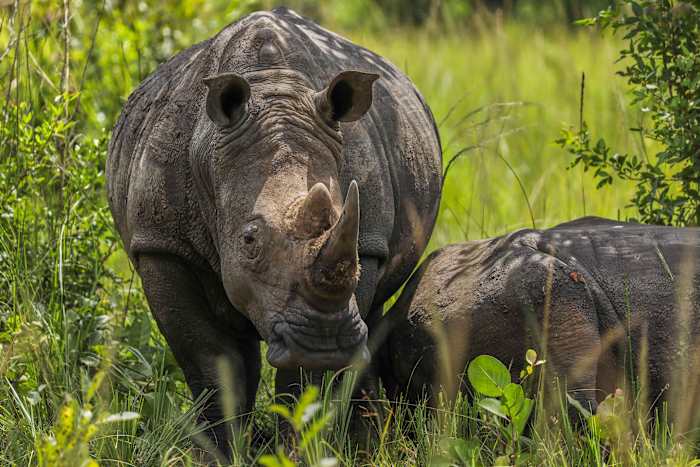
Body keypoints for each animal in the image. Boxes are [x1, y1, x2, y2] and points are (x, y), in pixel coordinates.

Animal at [106, 7, 441, 451]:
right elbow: (209, 360)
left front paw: (290, 451)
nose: (324, 340)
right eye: (249, 240)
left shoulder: (366, 243)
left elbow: (302, 381)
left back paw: (364, 444)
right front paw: (220, 454)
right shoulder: (162, 243)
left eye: (343, 222)